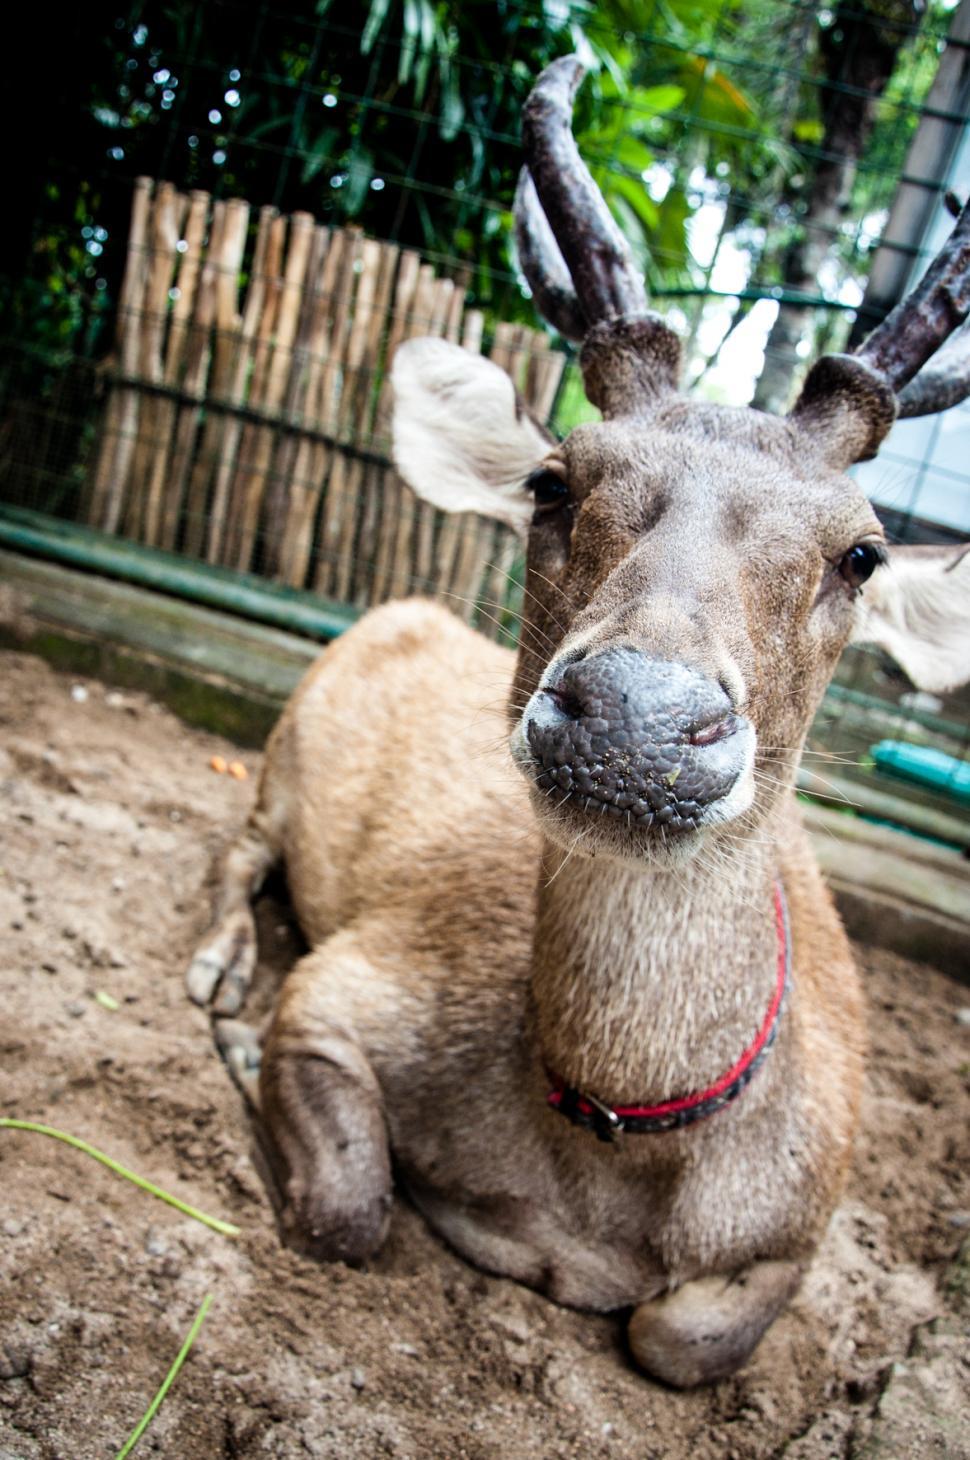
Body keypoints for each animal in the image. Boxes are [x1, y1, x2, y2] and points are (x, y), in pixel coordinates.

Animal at [186, 56, 970, 1387]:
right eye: (555, 478)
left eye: (861, 551)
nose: (639, 718)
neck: (612, 1151)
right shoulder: (352, 987)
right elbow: (348, 1206)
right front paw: (245, 1050)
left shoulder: (812, 1210)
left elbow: (680, 1336)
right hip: (285, 747)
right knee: (237, 841)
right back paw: (217, 969)